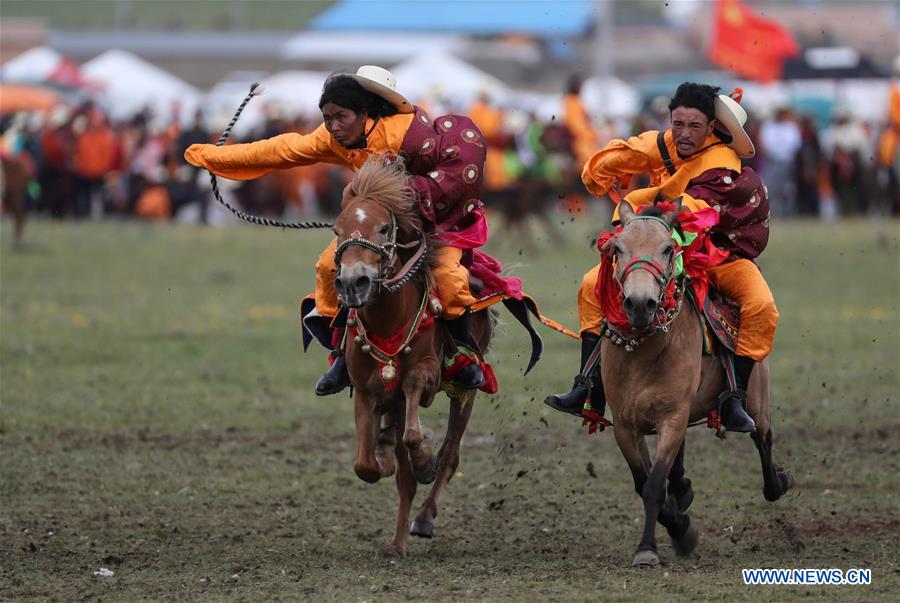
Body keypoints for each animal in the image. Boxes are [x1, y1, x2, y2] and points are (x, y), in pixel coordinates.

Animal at [596, 202, 796, 568]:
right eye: (617, 249)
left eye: (668, 248)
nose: (640, 304)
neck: (643, 354)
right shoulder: (625, 425)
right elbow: (644, 482)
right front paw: (680, 528)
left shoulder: (672, 417)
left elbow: (653, 486)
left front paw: (652, 547)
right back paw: (683, 489)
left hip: (757, 401)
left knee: (763, 441)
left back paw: (778, 481)